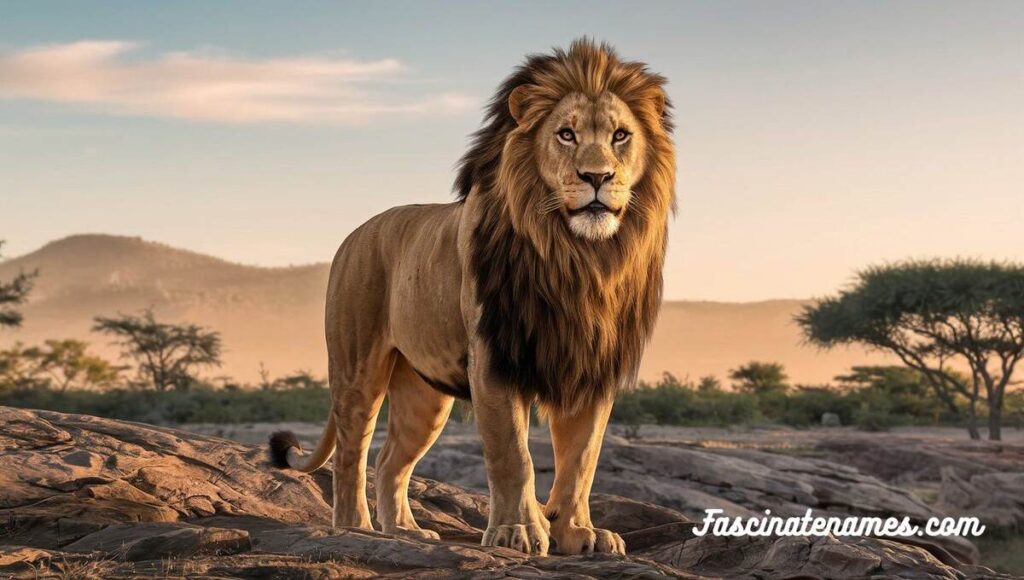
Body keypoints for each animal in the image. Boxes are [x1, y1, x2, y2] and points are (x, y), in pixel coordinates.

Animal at [268, 39, 675, 556]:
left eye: (621, 135)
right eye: (565, 135)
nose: (597, 177)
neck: (578, 258)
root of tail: (355, 233)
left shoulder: (590, 365)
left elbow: (582, 459)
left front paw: (578, 532)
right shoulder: (494, 358)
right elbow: (513, 454)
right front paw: (517, 532)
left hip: (424, 393)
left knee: (389, 460)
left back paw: (404, 531)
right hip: (357, 366)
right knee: (351, 453)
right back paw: (355, 528)